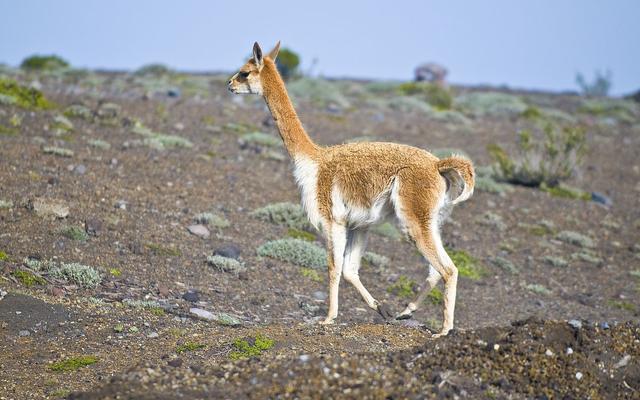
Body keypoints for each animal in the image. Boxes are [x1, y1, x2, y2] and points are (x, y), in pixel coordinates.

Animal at [227, 42, 475, 337]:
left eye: (244, 72)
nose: (229, 84)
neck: (313, 160)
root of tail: (438, 164)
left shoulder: (331, 219)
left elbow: (333, 267)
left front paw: (328, 318)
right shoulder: (359, 224)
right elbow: (349, 270)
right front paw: (381, 309)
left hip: (413, 217)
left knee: (448, 269)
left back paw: (444, 329)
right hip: (432, 220)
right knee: (436, 270)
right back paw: (406, 311)